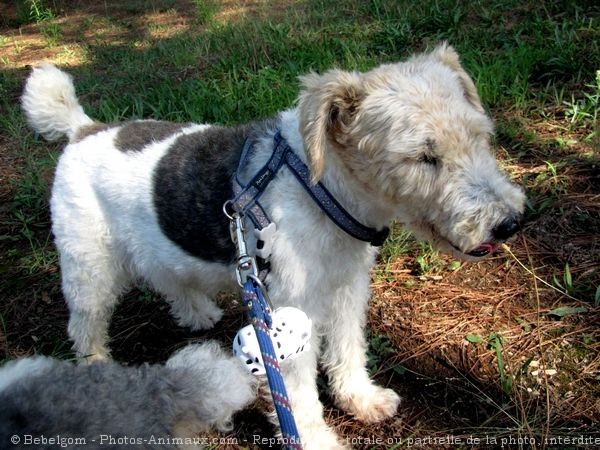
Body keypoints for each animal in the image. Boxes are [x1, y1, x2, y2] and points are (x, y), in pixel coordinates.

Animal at [21, 44, 524, 448]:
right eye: (424, 156)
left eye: (480, 135)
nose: (511, 223)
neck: (321, 188)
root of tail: (83, 129)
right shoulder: (290, 312)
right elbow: (298, 395)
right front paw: (316, 440)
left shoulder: (346, 289)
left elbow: (348, 351)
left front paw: (362, 400)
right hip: (88, 268)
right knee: (86, 327)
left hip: (155, 246)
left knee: (170, 280)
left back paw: (199, 313)